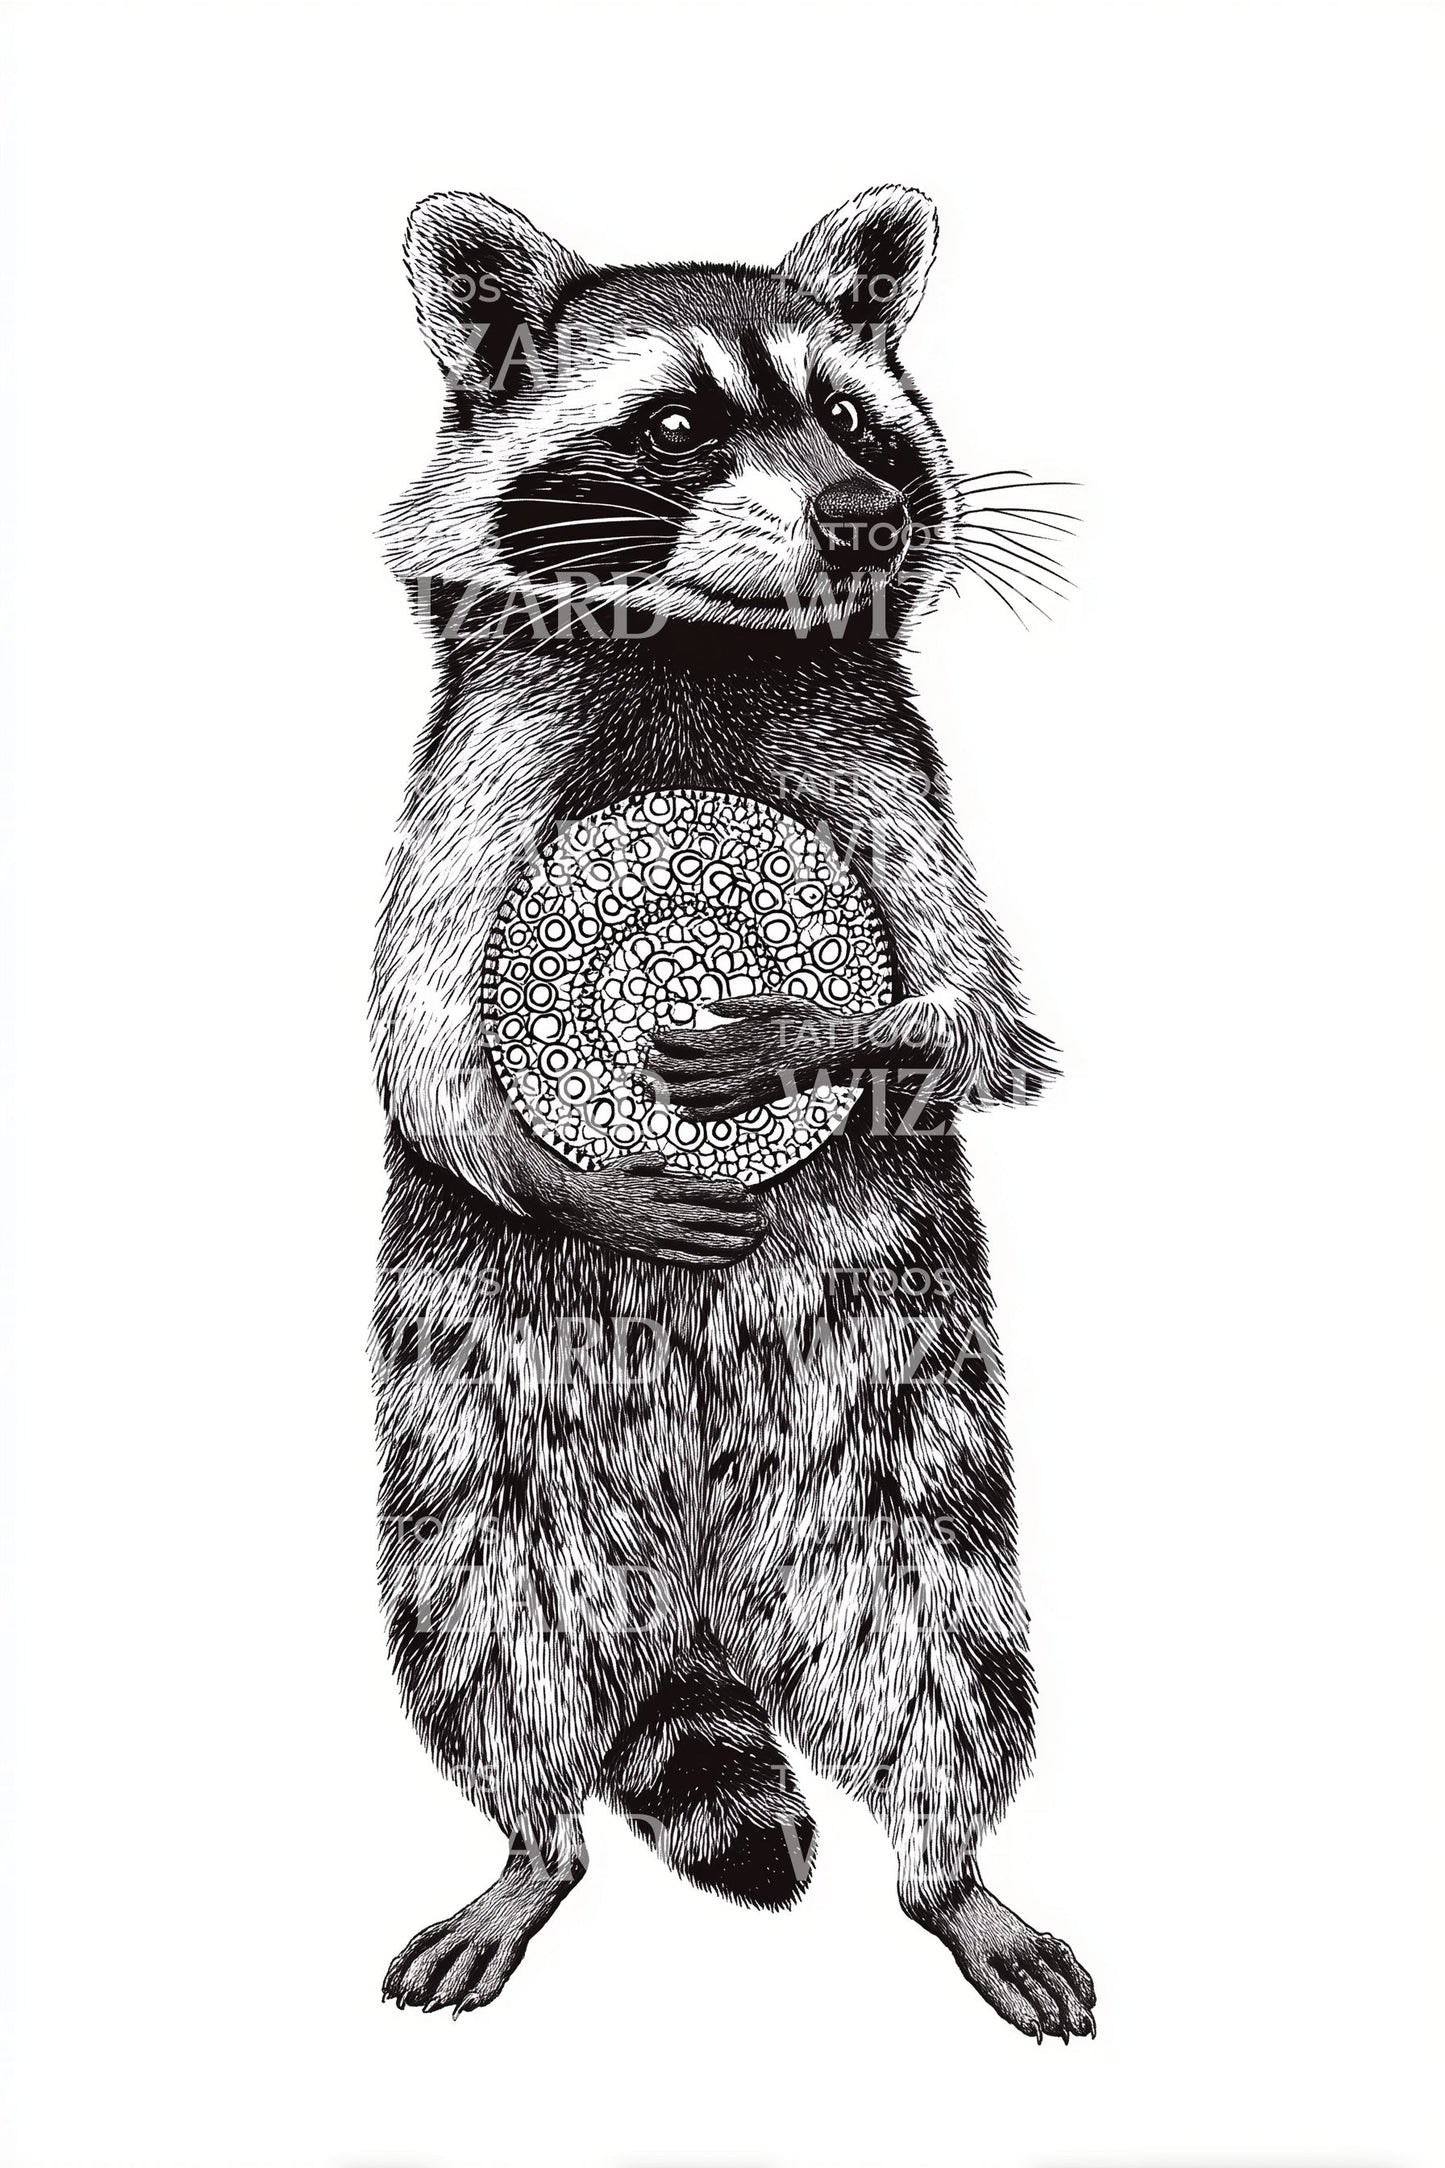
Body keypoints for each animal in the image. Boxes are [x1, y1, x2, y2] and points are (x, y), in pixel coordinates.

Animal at [371, 185, 1095, 2040]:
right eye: (677, 426)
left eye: (854, 418)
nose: (862, 515)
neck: (706, 639)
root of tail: (698, 1581)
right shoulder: (481, 772)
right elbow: (418, 1041)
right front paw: (584, 1168)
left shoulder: (884, 767)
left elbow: (979, 1021)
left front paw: (816, 1034)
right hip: (487, 1432)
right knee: (495, 1635)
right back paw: (529, 1841)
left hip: (895, 1421)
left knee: (931, 1641)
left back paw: (949, 1866)